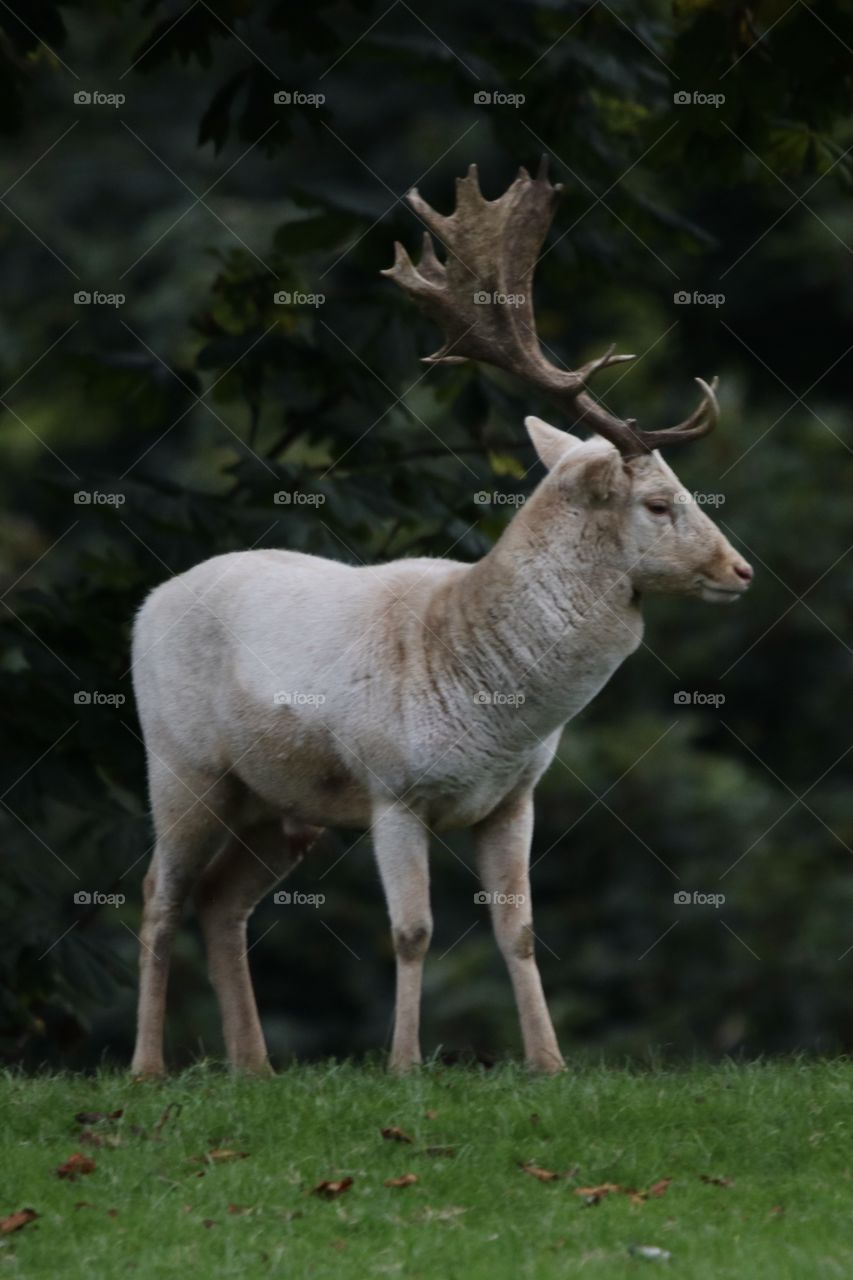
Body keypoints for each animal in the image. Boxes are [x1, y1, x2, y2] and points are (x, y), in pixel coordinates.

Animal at [129, 159, 753, 1080]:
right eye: (658, 502)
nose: (738, 571)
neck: (489, 703)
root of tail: (148, 604)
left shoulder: (513, 797)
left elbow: (519, 930)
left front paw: (548, 1064)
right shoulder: (392, 789)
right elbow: (413, 931)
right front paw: (404, 1066)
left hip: (280, 806)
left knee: (218, 902)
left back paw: (255, 1068)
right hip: (183, 765)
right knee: (157, 894)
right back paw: (147, 1068)